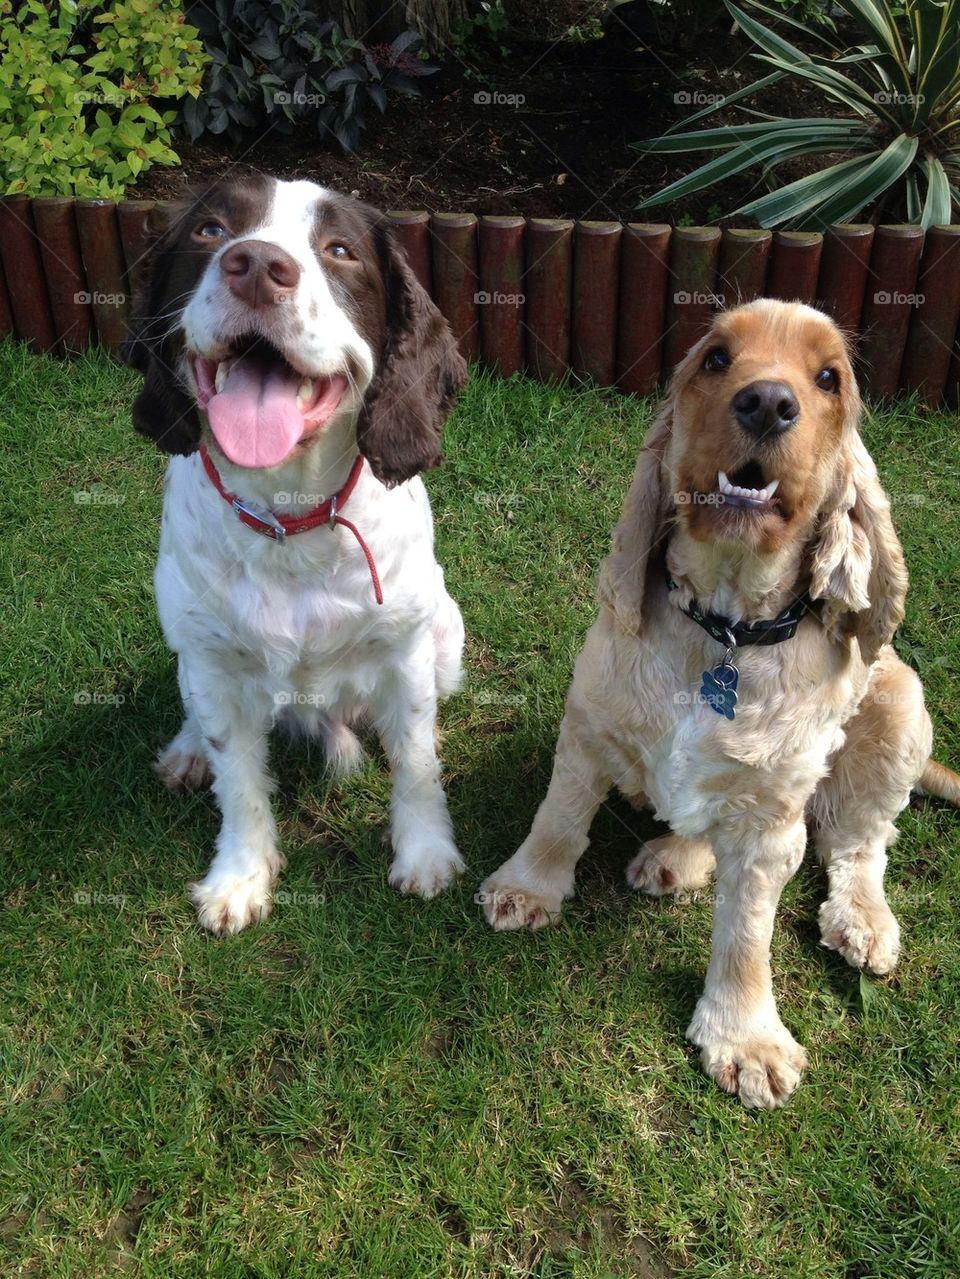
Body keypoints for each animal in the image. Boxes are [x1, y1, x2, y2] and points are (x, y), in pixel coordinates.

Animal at [125, 177, 470, 931]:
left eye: (338, 250)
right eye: (211, 230)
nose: (256, 266)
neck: (288, 520)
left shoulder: (406, 653)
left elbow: (414, 767)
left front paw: (426, 854)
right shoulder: (214, 665)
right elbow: (239, 782)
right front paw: (238, 878)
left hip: (448, 634)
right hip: (189, 654)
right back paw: (186, 752)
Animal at [483, 299, 956, 1110]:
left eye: (829, 378)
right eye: (715, 359)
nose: (767, 402)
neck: (726, 628)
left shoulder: (770, 821)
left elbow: (747, 933)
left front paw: (746, 1036)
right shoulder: (589, 727)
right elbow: (558, 820)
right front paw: (525, 889)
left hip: (900, 706)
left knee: (857, 843)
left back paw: (862, 920)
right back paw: (678, 857)